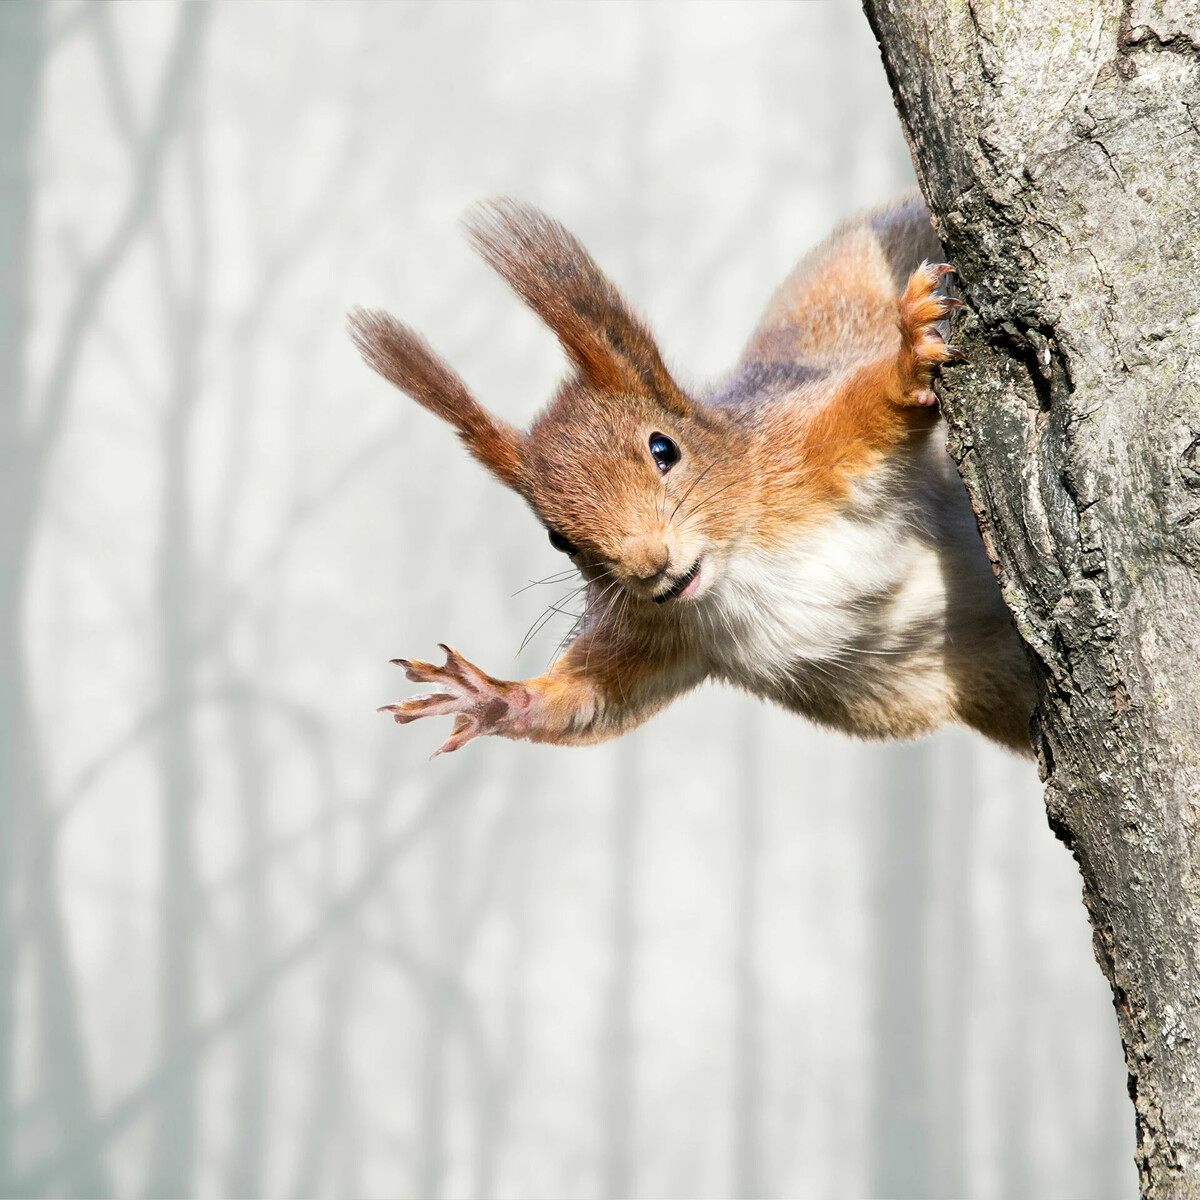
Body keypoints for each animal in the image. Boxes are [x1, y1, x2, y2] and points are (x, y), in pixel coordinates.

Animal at [348, 196, 1032, 758]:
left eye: (664, 449)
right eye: (557, 539)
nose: (650, 567)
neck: (739, 567)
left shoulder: (801, 454)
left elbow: (868, 407)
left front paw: (908, 356)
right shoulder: (660, 633)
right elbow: (592, 700)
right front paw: (490, 696)